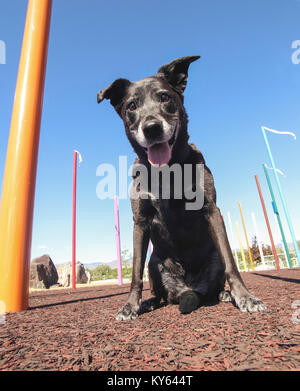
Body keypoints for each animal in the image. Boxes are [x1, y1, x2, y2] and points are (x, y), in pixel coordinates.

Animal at [97, 55, 266, 320]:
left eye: (165, 97)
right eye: (131, 106)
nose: (151, 127)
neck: (167, 172)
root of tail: (187, 290)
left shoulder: (211, 210)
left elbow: (231, 262)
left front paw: (245, 297)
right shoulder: (140, 221)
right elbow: (134, 273)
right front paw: (130, 306)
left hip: (212, 257)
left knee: (217, 279)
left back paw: (224, 294)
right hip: (154, 264)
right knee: (160, 294)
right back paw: (149, 302)